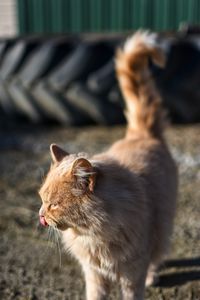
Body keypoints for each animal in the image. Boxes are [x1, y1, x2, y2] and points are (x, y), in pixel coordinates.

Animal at [38, 31, 177, 298]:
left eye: (54, 205)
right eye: (41, 199)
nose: (40, 215)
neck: (93, 236)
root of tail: (141, 134)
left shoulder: (133, 273)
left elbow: (134, 290)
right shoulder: (94, 274)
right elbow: (95, 294)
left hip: (163, 228)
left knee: (158, 256)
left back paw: (153, 277)